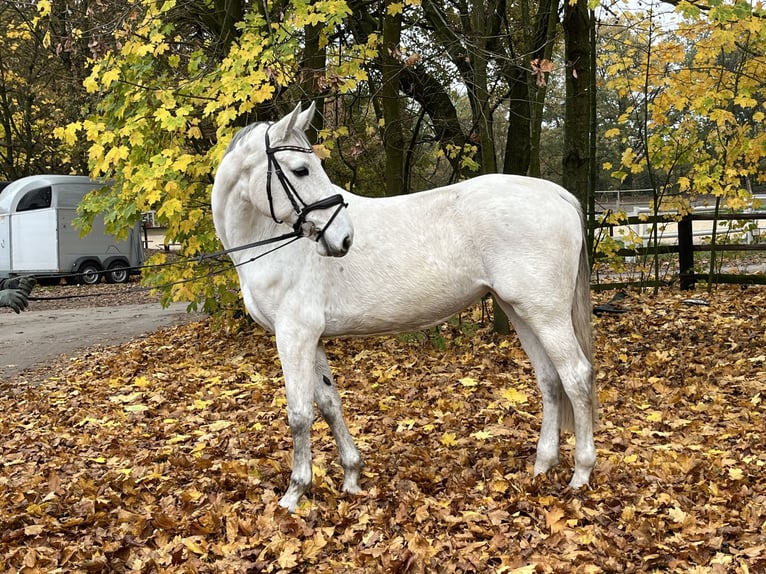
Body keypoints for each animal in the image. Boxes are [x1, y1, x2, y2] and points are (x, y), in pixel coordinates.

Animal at [212, 103, 600, 512]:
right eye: (301, 170)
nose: (344, 238)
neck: (270, 241)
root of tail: (556, 194)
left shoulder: (294, 335)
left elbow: (299, 413)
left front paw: (294, 493)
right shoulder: (311, 339)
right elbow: (330, 403)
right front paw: (352, 476)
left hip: (547, 315)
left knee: (576, 377)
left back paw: (581, 473)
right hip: (520, 311)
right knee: (550, 380)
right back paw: (543, 465)